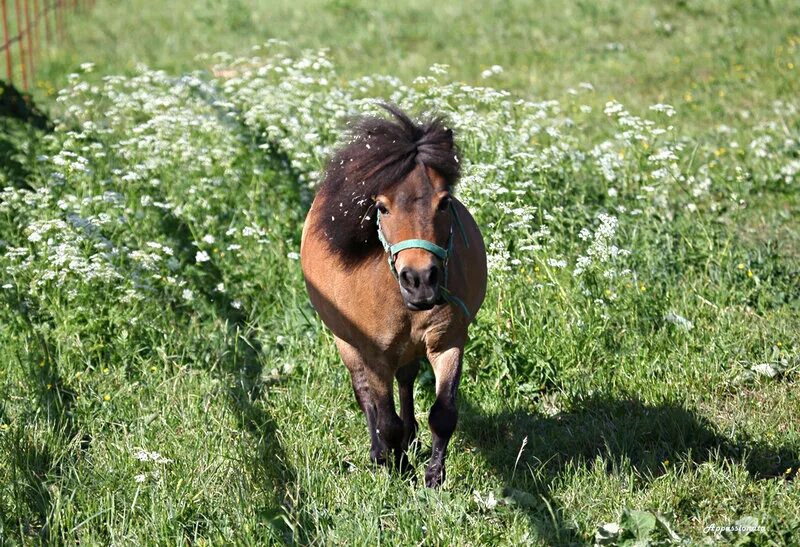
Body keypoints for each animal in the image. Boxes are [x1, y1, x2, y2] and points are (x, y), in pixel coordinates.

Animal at [300, 104, 488, 488]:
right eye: (382, 207)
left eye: (444, 202)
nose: (420, 279)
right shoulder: (374, 356)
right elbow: (386, 419)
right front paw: (400, 470)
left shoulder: (448, 343)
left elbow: (444, 412)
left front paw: (433, 477)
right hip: (346, 343)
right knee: (365, 395)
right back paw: (380, 452)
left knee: (406, 380)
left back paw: (411, 438)